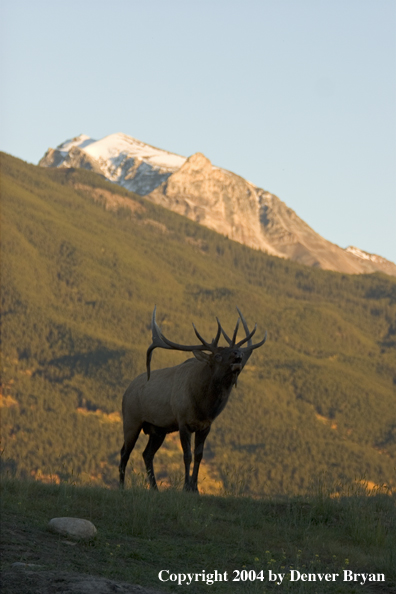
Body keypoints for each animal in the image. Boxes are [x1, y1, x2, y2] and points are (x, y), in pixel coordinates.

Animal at [117, 306, 266, 490]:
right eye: (217, 355)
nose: (238, 353)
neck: (204, 407)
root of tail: (126, 390)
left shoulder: (206, 426)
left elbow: (199, 455)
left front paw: (195, 488)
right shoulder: (183, 422)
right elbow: (187, 455)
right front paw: (186, 487)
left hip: (158, 429)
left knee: (147, 454)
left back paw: (155, 488)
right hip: (132, 420)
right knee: (125, 452)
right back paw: (121, 486)